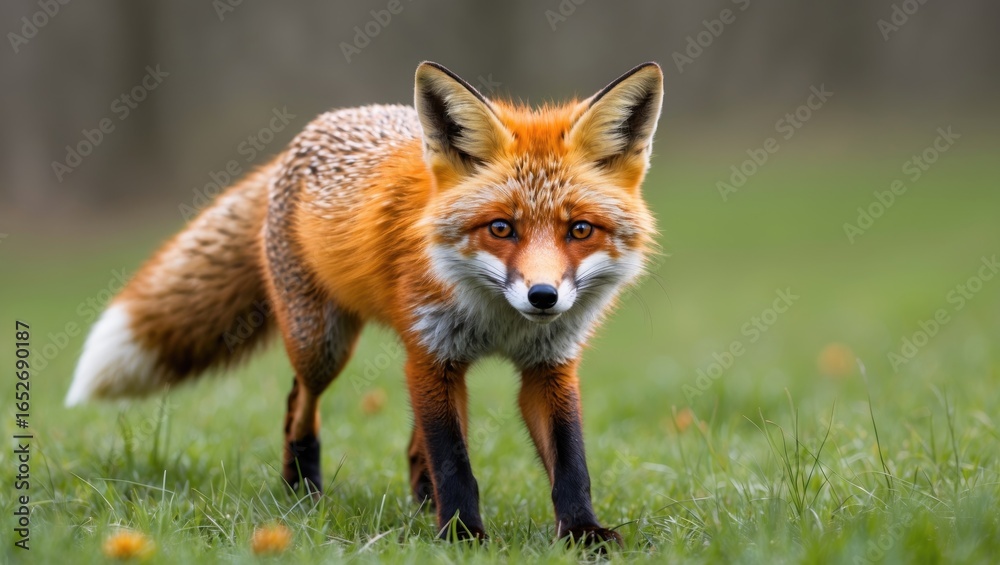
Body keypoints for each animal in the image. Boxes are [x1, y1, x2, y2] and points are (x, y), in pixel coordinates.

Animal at [66, 61, 663, 546]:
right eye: (501, 228)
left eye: (579, 229)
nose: (543, 297)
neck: (500, 322)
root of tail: (303, 136)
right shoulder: (432, 354)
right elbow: (454, 462)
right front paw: (463, 536)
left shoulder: (548, 364)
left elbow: (570, 463)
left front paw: (583, 533)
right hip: (323, 344)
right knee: (299, 404)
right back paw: (302, 492)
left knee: (410, 444)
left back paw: (418, 503)